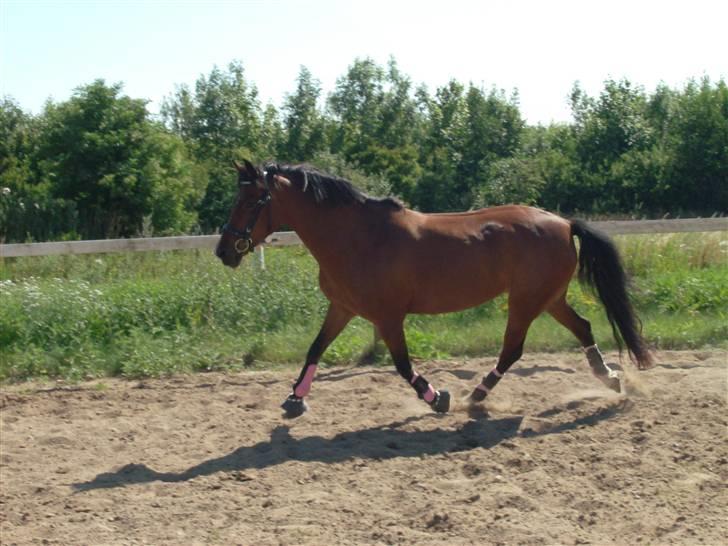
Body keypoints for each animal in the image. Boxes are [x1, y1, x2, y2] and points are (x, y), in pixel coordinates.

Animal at [213, 159, 652, 414]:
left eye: (250, 201)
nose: (224, 251)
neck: (359, 238)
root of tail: (563, 223)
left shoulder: (388, 317)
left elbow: (403, 365)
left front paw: (437, 397)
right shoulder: (342, 308)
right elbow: (314, 349)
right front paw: (294, 399)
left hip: (526, 301)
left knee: (513, 349)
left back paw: (477, 394)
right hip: (549, 298)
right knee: (583, 328)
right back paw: (610, 378)